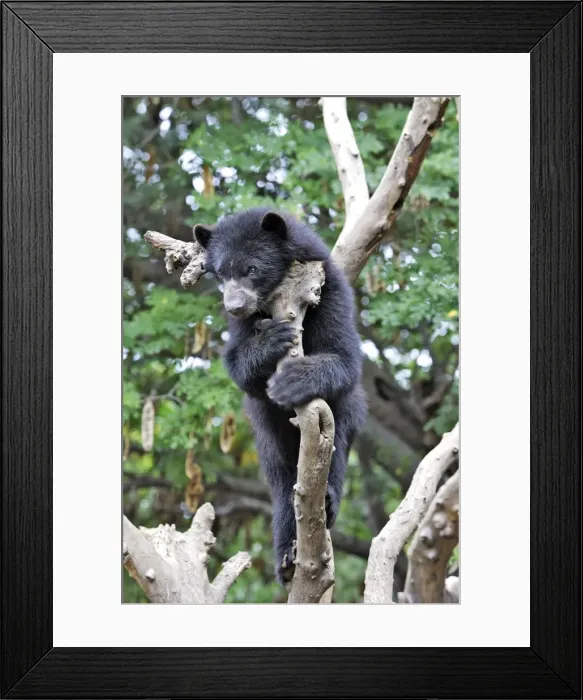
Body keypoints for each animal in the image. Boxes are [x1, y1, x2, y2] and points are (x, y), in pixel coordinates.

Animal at [194, 207, 367, 583]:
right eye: (222, 274)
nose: (234, 306)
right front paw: (272, 339)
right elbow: (238, 365)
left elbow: (344, 356)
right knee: (282, 478)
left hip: (344, 416)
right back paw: (287, 557)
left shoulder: (330, 294)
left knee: (337, 445)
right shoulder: (242, 328)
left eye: (251, 269)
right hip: (267, 433)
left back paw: (327, 500)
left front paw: (291, 381)